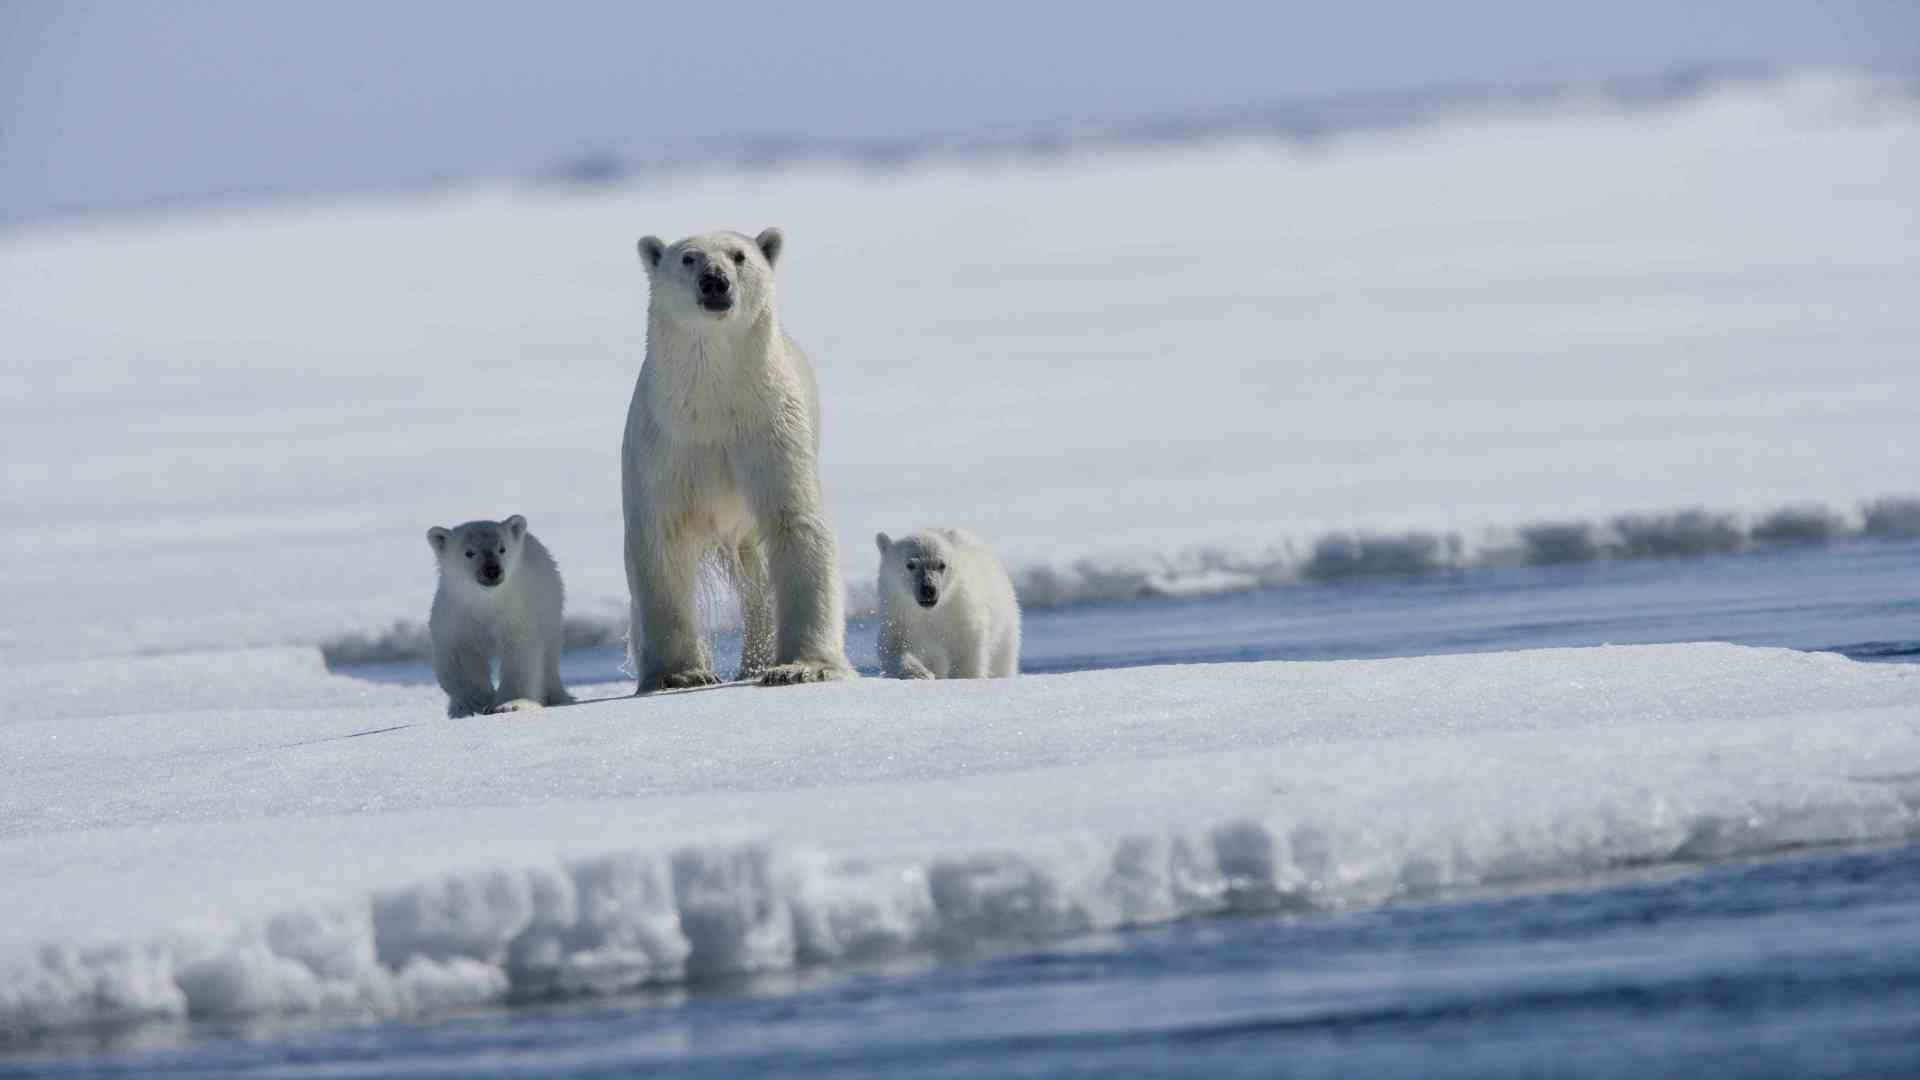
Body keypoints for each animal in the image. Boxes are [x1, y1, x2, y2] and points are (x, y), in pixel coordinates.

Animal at [420, 511, 568, 714]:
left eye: (502, 549)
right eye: (469, 552)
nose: (492, 570)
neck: (487, 602)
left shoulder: (516, 614)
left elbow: (520, 654)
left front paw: (511, 704)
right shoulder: (456, 618)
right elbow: (460, 658)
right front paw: (477, 701)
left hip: (549, 607)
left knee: (549, 658)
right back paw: (457, 710)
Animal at [622, 226, 856, 687]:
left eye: (739, 255)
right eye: (688, 258)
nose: (715, 281)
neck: (712, 404)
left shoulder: (769, 430)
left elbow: (796, 524)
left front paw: (801, 666)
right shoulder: (663, 446)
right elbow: (661, 540)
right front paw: (681, 673)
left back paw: (757, 661)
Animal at [875, 526, 1021, 676]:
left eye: (941, 564)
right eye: (910, 564)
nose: (928, 589)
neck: (930, 613)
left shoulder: (959, 610)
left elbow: (967, 648)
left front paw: (964, 676)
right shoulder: (899, 615)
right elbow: (893, 646)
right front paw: (920, 674)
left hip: (1005, 623)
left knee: (1003, 659)